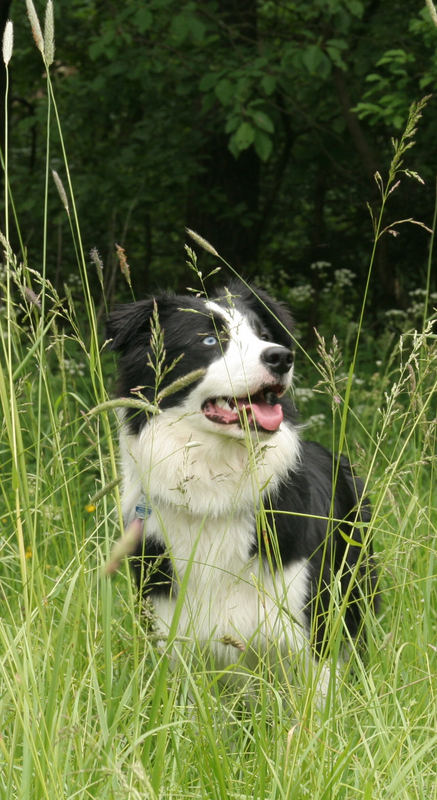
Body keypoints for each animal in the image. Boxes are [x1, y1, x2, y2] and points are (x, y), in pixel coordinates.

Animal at [105, 284, 374, 696]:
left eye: (262, 334)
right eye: (209, 340)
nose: (281, 357)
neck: (214, 493)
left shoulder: (313, 634)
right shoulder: (173, 638)